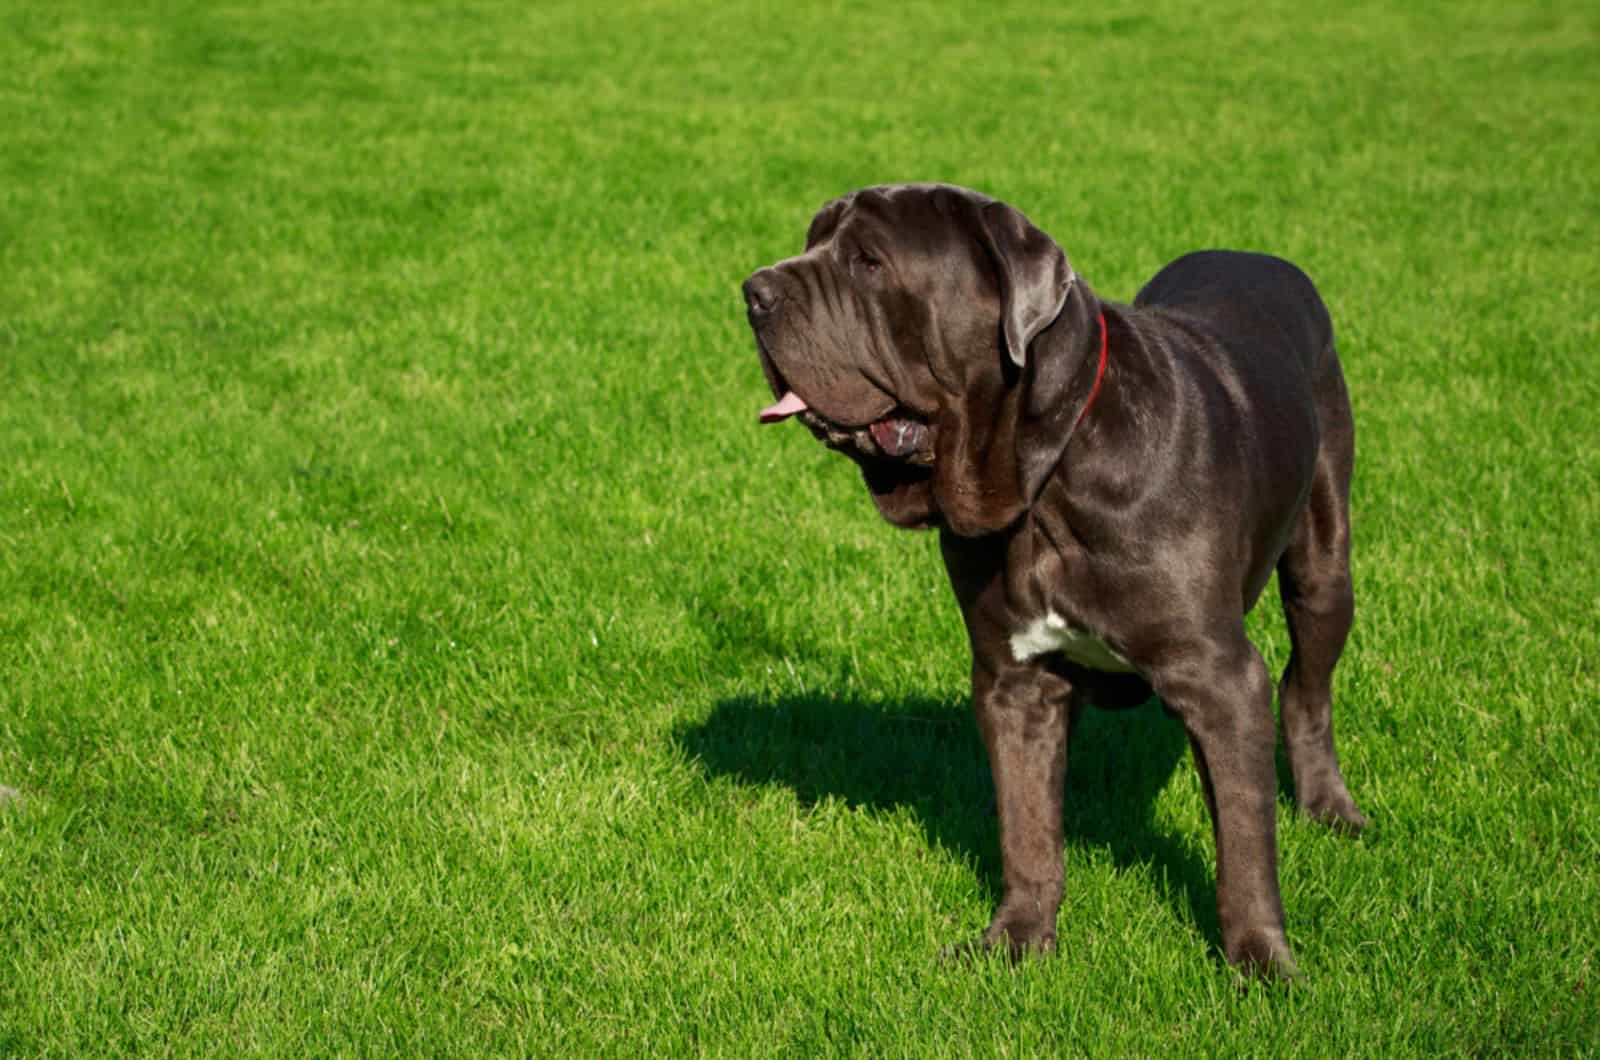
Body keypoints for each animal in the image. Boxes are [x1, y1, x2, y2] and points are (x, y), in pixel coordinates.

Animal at [742, 180, 1369, 979]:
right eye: (813, 241)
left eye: (868, 262)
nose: (754, 291)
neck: (1046, 473)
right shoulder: (1015, 681)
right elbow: (1028, 826)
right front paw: (1017, 939)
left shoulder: (1218, 677)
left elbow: (1245, 843)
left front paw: (1262, 962)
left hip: (1324, 558)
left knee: (1307, 684)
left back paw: (1330, 808)